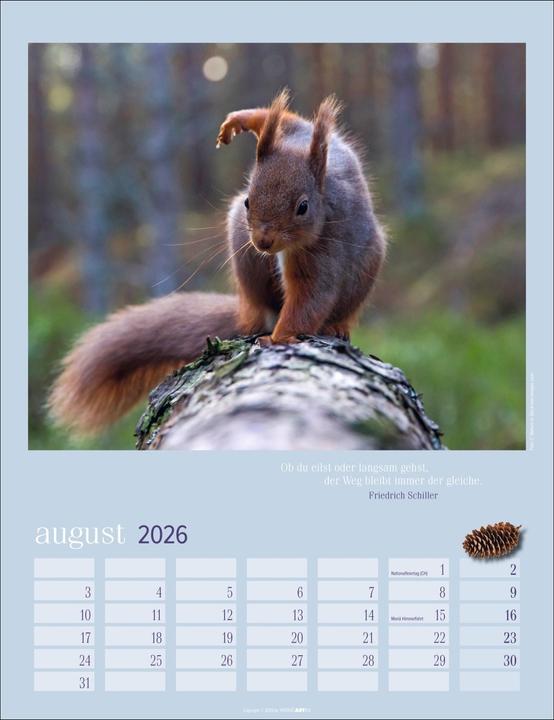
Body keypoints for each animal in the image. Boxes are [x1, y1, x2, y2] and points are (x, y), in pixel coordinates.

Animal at [48, 90, 386, 436]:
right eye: (249, 199)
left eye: (302, 207)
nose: (263, 242)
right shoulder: (294, 132)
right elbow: (284, 118)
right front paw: (238, 121)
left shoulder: (325, 248)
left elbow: (311, 296)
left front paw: (279, 338)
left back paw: (334, 326)